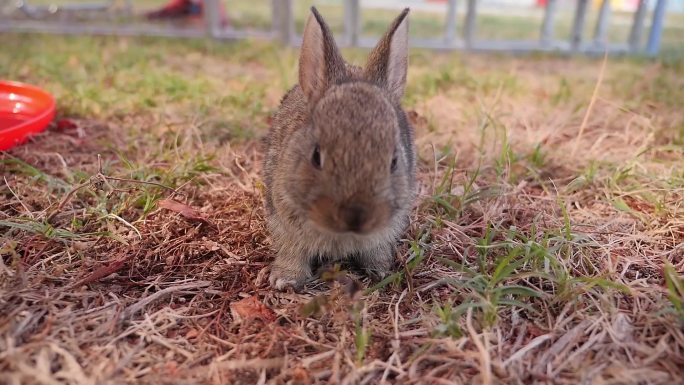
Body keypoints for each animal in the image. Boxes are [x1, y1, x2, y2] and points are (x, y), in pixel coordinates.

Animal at [264, 6, 416, 290]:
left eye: (393, 162)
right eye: (316, 156)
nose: (355, 216)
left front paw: (380, 271)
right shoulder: (283, 216)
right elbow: (292, 249)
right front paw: (286, 279)